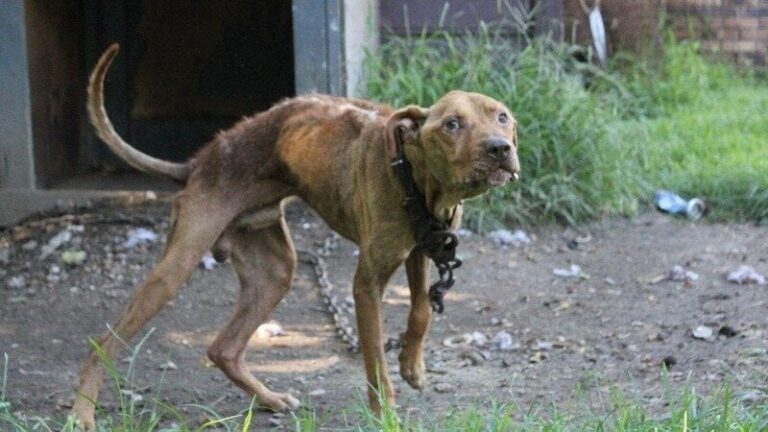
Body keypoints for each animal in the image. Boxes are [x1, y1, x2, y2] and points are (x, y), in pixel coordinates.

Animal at [72, 44, 520, 428]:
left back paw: (269, 398)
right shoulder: (366, 285)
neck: (414, 176)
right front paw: (386, 415)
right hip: (175, 268)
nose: (501, 149)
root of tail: (198, 163)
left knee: (222, 348)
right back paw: (82, 413)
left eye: (502, 117)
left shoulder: (420, 252)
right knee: (102, 344)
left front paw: (412, 365)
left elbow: (422, 310)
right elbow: (376, 360)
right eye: (452, 124)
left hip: (275, 272)